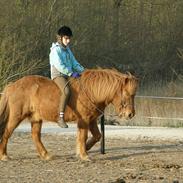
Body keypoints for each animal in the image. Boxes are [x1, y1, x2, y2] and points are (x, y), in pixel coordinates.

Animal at [0, 68, 138, 160]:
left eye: (134, 94)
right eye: (127, 94)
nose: (130, 114)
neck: (91, 91)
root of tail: (12, 85)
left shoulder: (92, 119)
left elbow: (97, 136)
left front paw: (85, 149)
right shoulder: (84, 120)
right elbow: (83, 136)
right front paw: (84, 155)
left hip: (36, 118)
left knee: (35, 136)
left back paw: (46, 155)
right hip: (16, 116)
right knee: (7, 132)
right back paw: (4, 155)